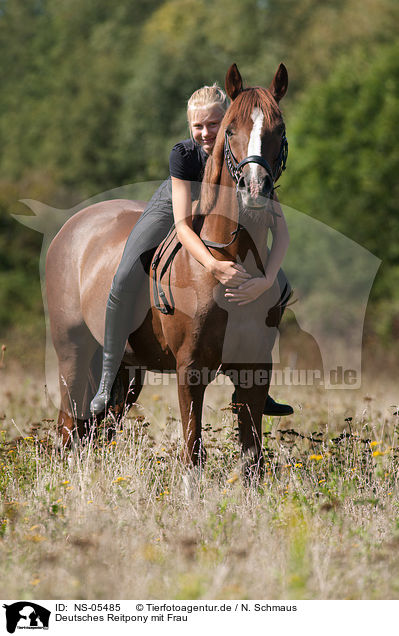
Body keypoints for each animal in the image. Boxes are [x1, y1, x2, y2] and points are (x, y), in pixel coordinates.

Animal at [46, 64, 290, 480]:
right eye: (230, 129)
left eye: (279, 128)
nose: (255, 189)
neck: (228, 258)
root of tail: (71, 227)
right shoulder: (190, 370)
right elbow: (193, 454)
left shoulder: (254, 371)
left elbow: (252, 459)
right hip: (73, 353)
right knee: (68, 427)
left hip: (127, 374)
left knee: (91, 430)